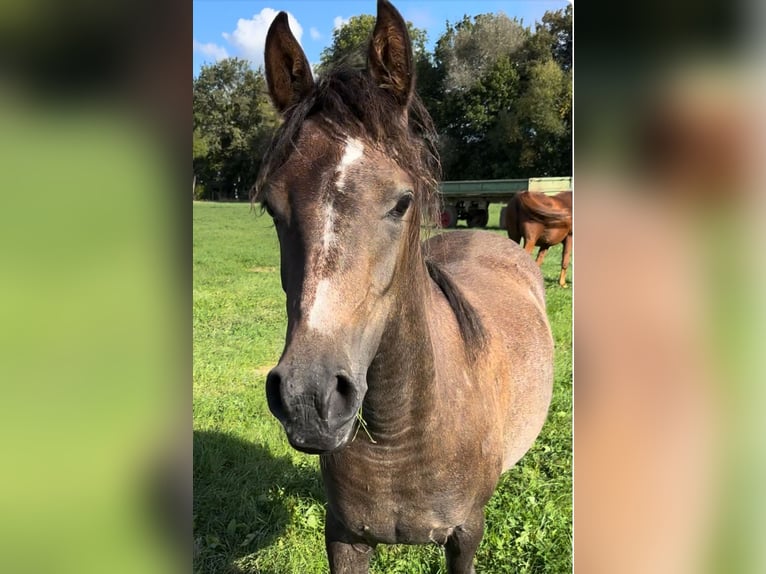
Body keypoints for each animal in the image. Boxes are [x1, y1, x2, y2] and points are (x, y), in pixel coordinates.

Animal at [256, 2, 552, 572]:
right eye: (271, 206)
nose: (309, 396)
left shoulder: (466, 535)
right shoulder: (344, 537)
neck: (402, 436)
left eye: (402, 202)